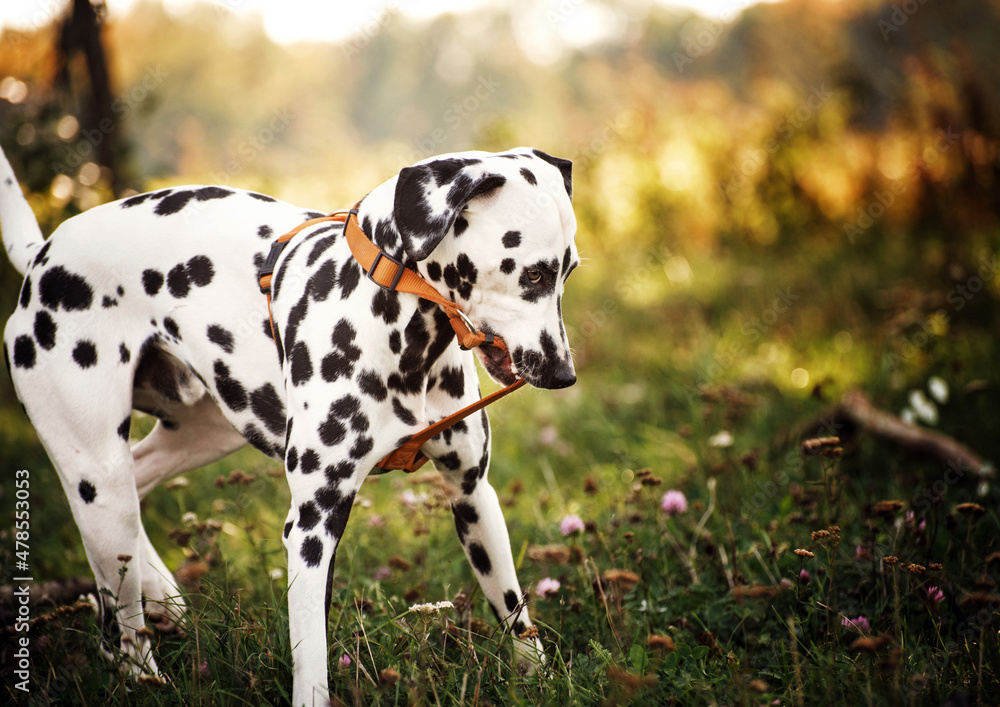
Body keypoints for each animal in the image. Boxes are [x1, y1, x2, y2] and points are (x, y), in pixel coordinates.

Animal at [1, 147, 580, 704]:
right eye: (532, 273)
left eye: (568, 271)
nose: (563, 375)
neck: (395, 327)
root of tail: (44, 255)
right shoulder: (312, 527)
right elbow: (312, 662)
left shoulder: (472, 494)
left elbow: (515, 610)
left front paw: (542, 681)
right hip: (99, 484)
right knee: (119, 630)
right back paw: (146, 668)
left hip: (195, 438)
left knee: (138, 482)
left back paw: (164, 599)